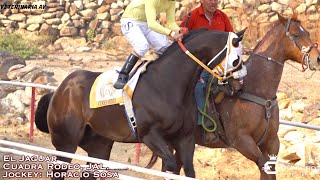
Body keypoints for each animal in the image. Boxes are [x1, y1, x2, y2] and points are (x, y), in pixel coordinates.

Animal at [34, 28, 245, 179]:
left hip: (98, 146)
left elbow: (188, 171)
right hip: (66, 143)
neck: (168, 84)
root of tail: (59, 90)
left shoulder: (184, 138)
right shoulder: (149, 135)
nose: (239, 86)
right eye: (236, 59)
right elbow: (169, 165)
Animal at [149, 12, 320, 179]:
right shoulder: (242, 141)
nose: (317, 58)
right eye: (296, 34)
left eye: (308, 33)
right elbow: (262, 165)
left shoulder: (271, 142)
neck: (256, 89)